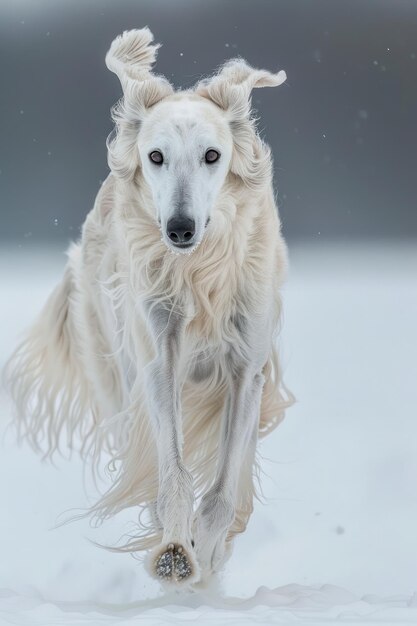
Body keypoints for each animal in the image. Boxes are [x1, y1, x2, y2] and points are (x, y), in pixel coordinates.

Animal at [5, 28, 292, 584]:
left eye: (212, 155)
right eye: (156, 156)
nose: (179, 229)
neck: (198, 275)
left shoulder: (246, 370)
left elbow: (221, 492)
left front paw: (206, 552)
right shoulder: (159, 358)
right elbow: (173, 473)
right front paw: (176, 551)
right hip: (115, 369)